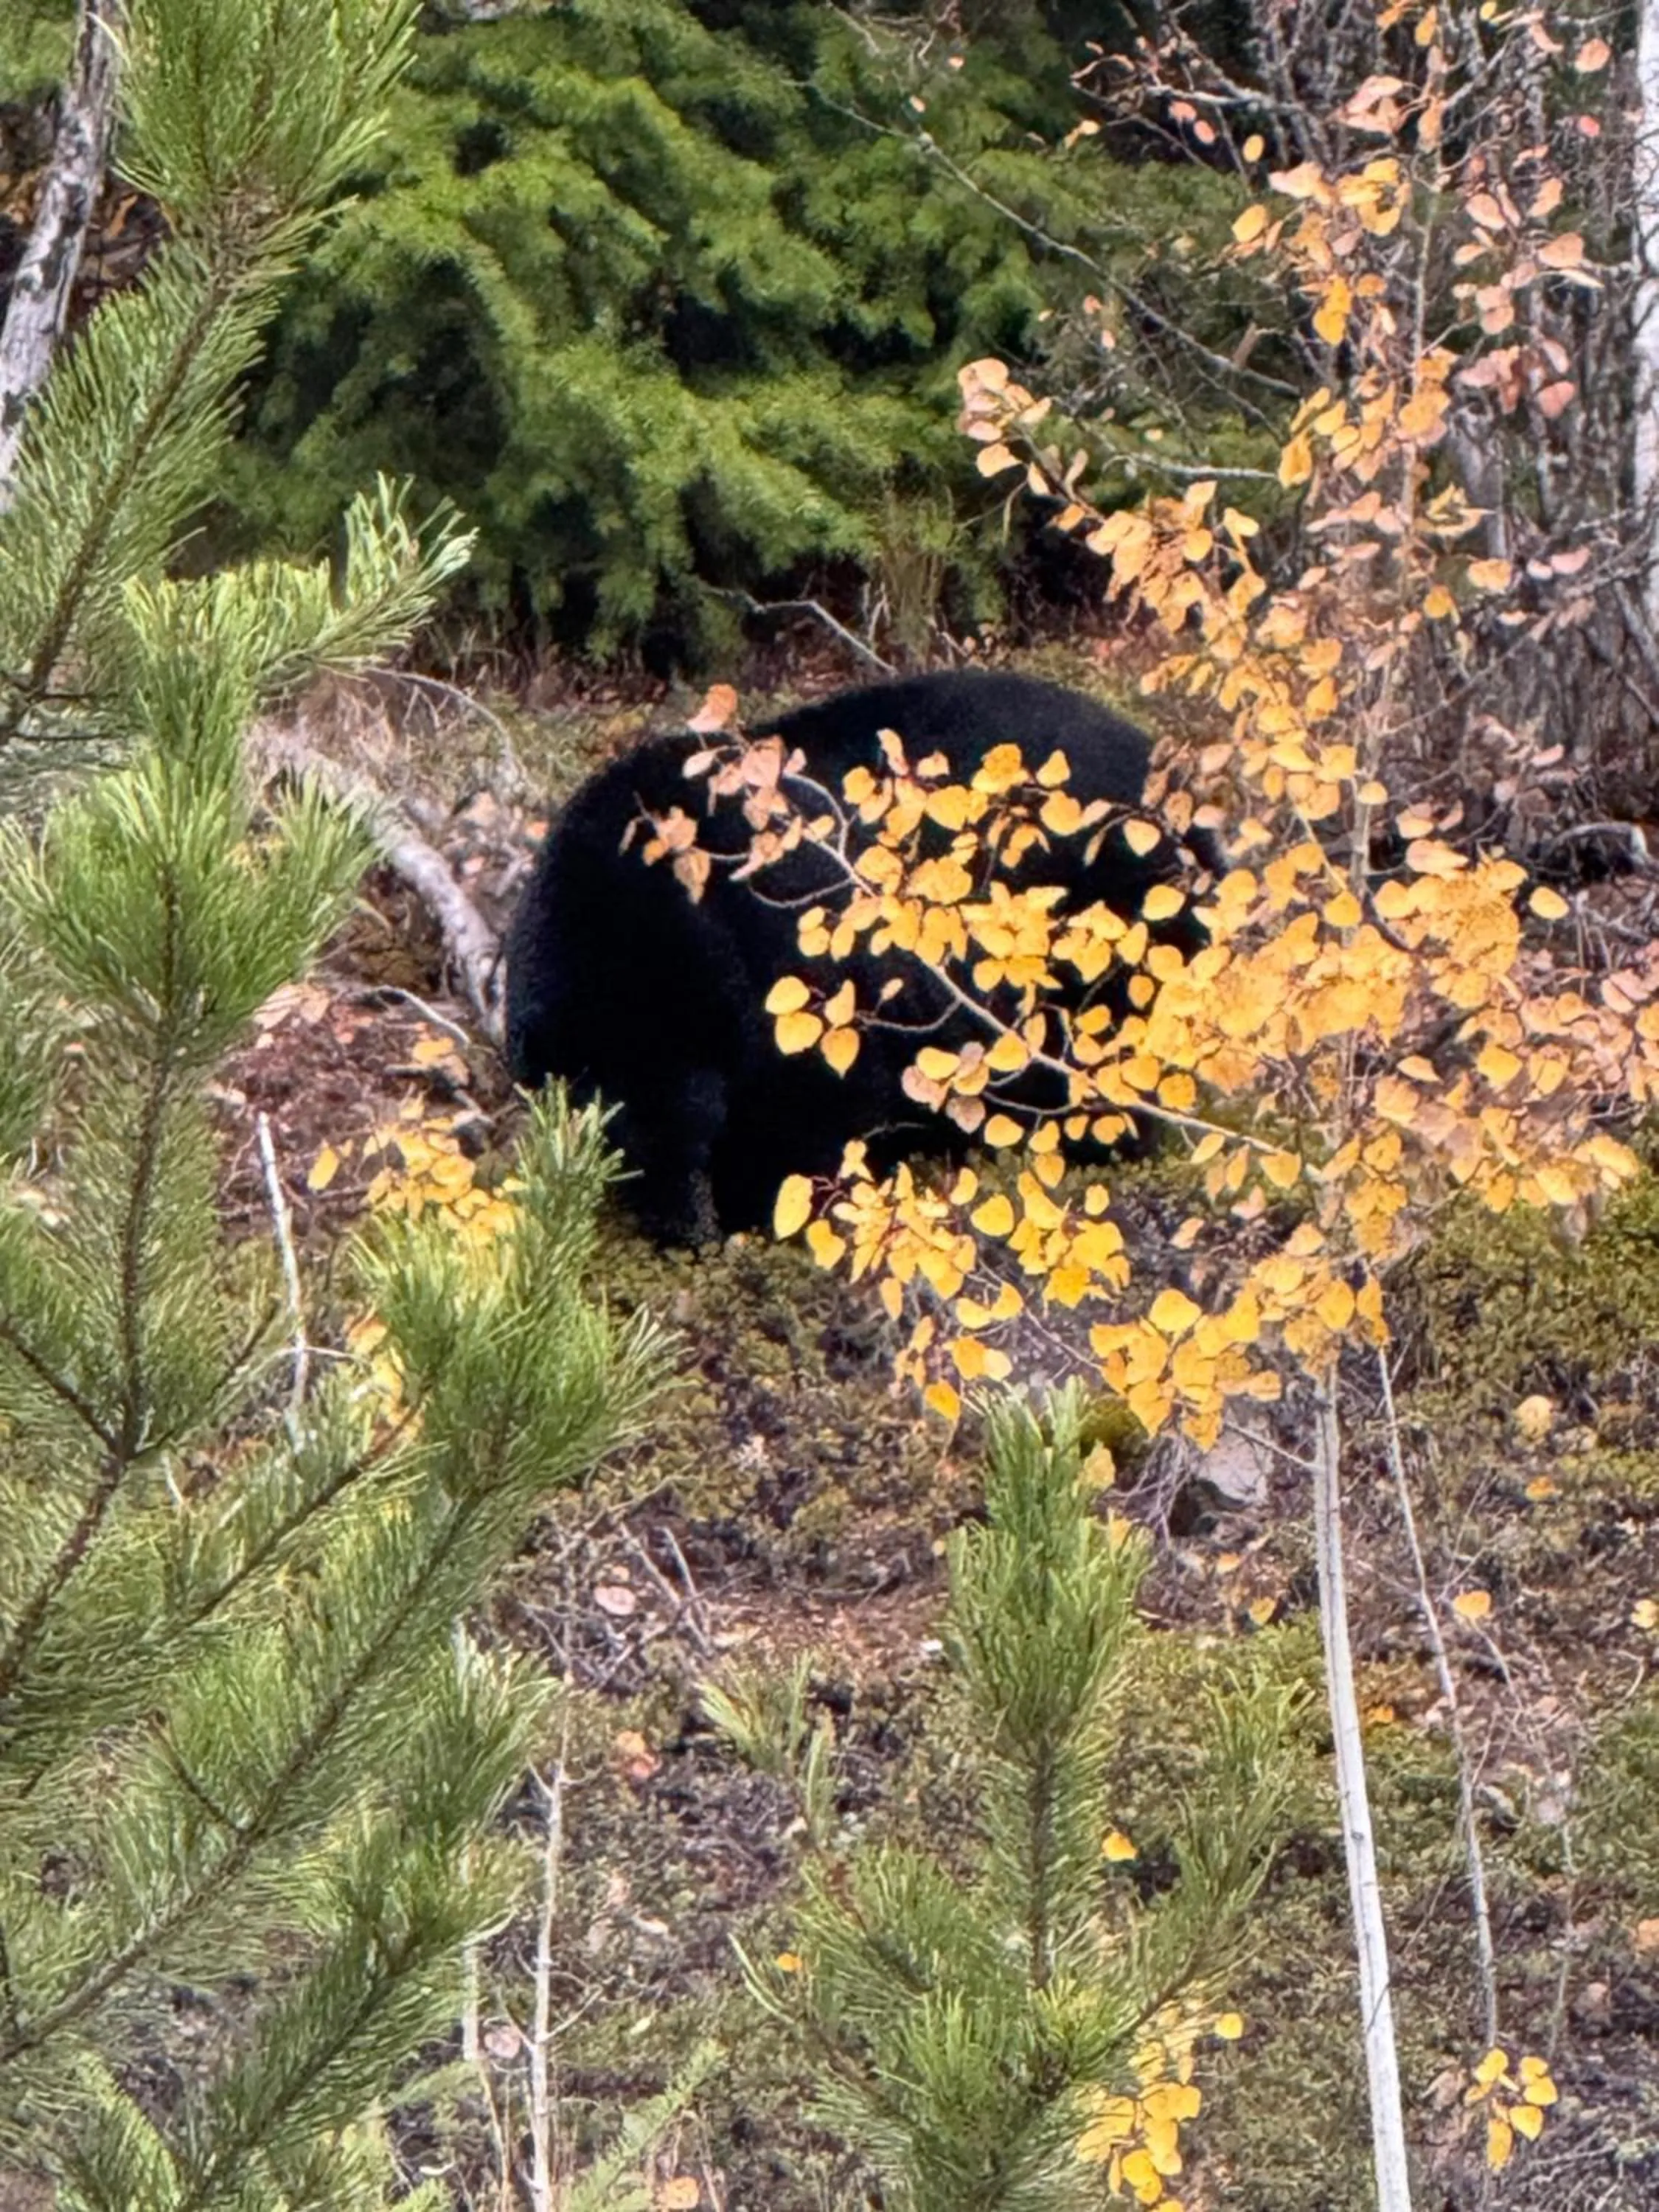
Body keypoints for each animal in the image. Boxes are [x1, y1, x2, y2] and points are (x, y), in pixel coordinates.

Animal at [506, 669, 1204, 1244]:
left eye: (682, 1124)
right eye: (611, 1137)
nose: (685, 1231)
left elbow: (812, 1107)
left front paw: (773, 1210)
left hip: (1115, 923)